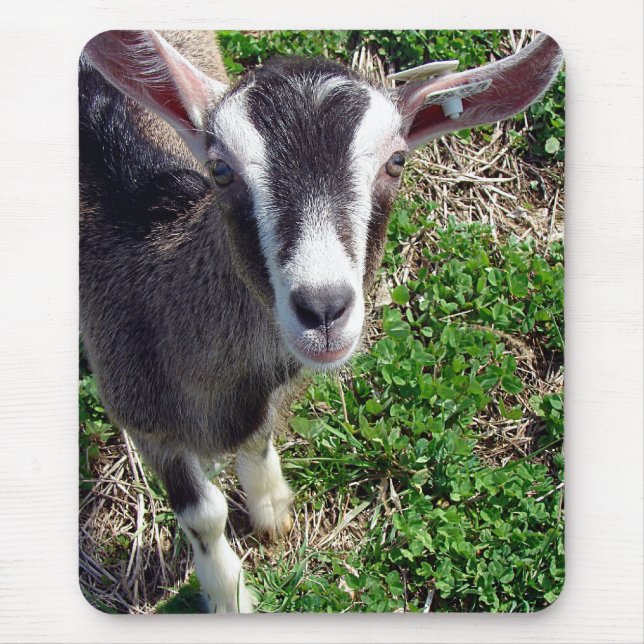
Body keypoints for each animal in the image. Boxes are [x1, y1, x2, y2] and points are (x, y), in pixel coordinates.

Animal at [79, 30, 563, 613]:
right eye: (220, 169)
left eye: (396, 161)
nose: (324, 308)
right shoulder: (145, 422)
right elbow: (204, 514)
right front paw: (229, 596)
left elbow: (259, 439)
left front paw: (271, 508)